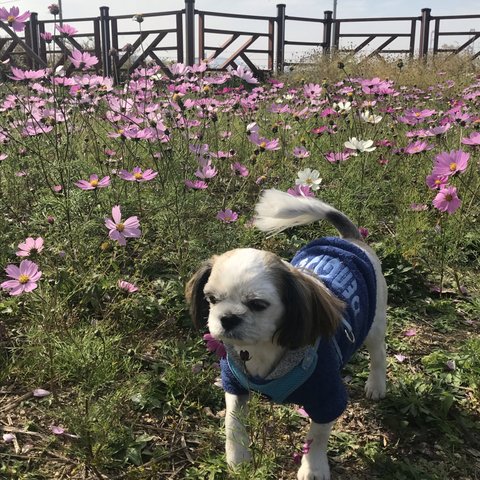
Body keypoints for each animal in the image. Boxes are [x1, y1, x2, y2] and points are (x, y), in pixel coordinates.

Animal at [186, 189, 387, 480]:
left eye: (258, 305)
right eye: (211, 299)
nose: (228, 318)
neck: (261, 349)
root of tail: (349, 240)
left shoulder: (327, 397)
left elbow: (317, 437)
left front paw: (313, 468)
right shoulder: (234, 382)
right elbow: (233, 420)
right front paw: (238, 456)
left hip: (374, 322)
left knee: (378, 353)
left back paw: (376, 384)